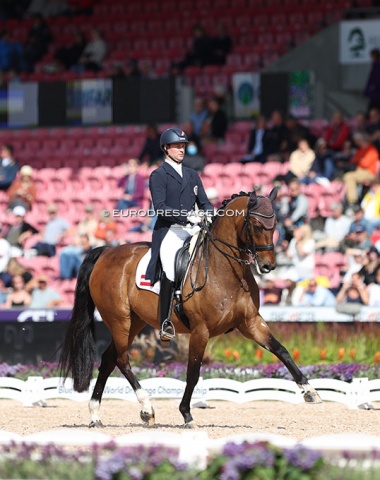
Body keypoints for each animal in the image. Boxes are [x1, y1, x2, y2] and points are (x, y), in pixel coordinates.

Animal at [58, 188, 320, 428]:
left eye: (275, 225)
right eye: (255, 225)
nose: (268, 266)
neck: (225, 269)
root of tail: (106, 251)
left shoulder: (251, 322)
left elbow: (281, 350)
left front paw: (310, 391)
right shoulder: (201, 330)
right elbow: (193, 373)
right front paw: (186, 414)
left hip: (135, 322)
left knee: (109, 358)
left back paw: (96, 415)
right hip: (119, 320)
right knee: (122, 359)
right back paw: (146, 409)